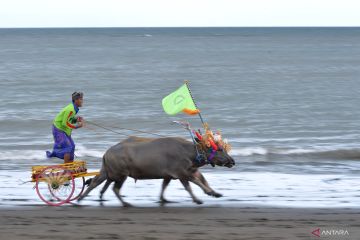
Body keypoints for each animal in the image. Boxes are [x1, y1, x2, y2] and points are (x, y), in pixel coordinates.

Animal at [78, 135, 235, 206]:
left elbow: (165, 186)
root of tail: (106, 152)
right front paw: (201, 197)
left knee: (97, 183)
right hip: (121, 175)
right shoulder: (182, 173)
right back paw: (125, 203)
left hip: (107, 172)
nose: (232, 161)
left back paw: (86, 197)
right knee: (114, 188)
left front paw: (215, 192)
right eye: (219, 149)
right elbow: (193, 185)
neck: (190, 153)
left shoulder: (172, 175)